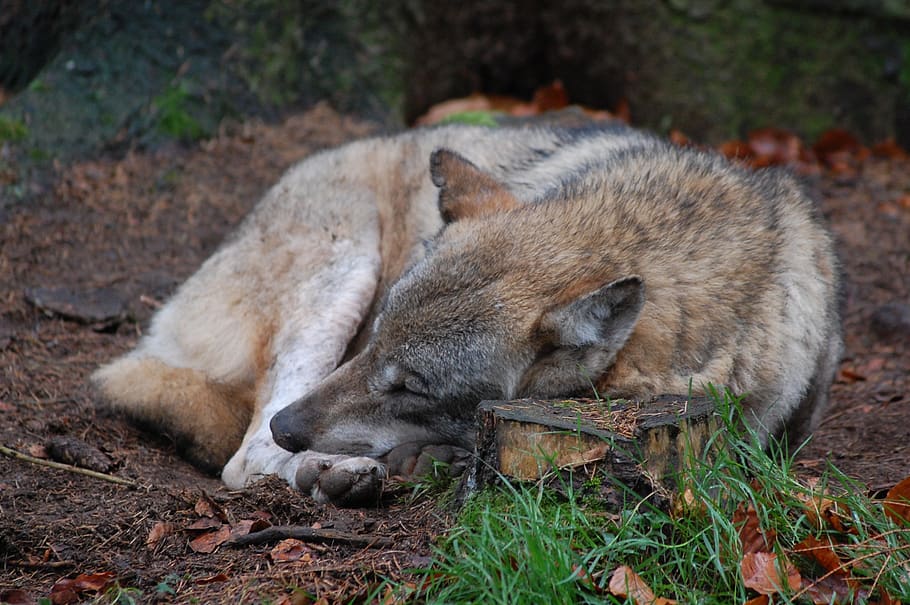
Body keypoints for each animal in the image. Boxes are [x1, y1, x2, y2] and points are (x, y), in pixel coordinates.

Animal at [92, 121, 842, 506]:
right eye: (373, 344)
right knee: (241, 460)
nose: (289, 426)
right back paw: (334, 471)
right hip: (343, 269)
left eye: (411, 386)